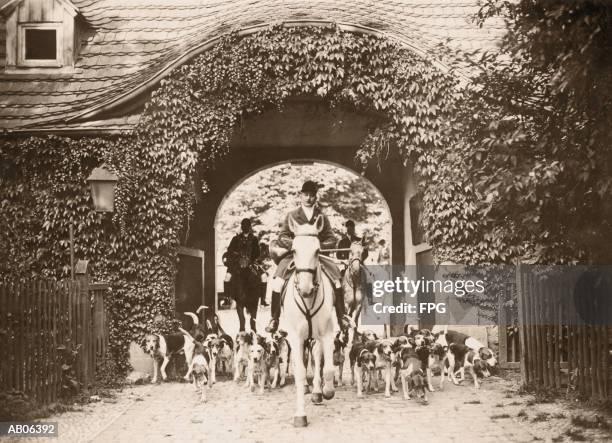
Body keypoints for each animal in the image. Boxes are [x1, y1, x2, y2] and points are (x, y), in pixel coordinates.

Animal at [284, 215, 338, 426]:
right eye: (293, 250)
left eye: (317, 251)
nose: (306, 289)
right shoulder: (295, 337)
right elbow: (299, 373)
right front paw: (300, 415)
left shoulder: (327, 333)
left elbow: (328, 368)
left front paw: (327, 391)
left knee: (317, 355)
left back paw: (317, 392)